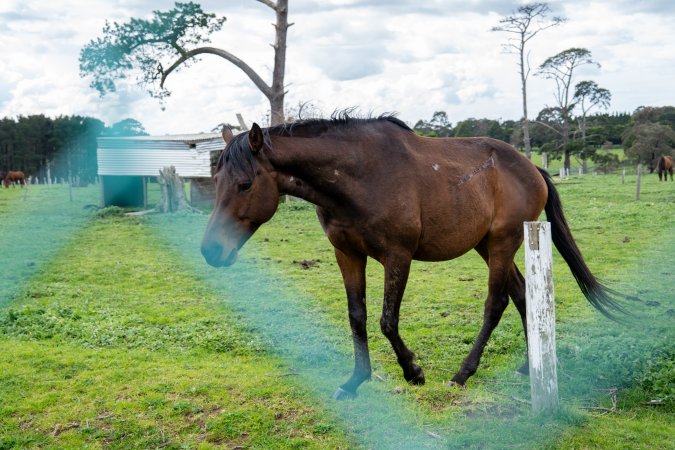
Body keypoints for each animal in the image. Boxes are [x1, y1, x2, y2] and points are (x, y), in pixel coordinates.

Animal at [201, 114, 626, 400]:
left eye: (245, 184)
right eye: (215, 180)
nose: (210, 251)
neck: (359, 175)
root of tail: (532, 167)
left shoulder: (397, 256)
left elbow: (388, 321)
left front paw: (414, 372)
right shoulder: (347, 254)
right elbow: (357, 317)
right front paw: (355, 381)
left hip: (503, 242)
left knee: (496, 303)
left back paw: (462, 374)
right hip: (487, 245)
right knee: (523, 296)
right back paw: (527, 366)